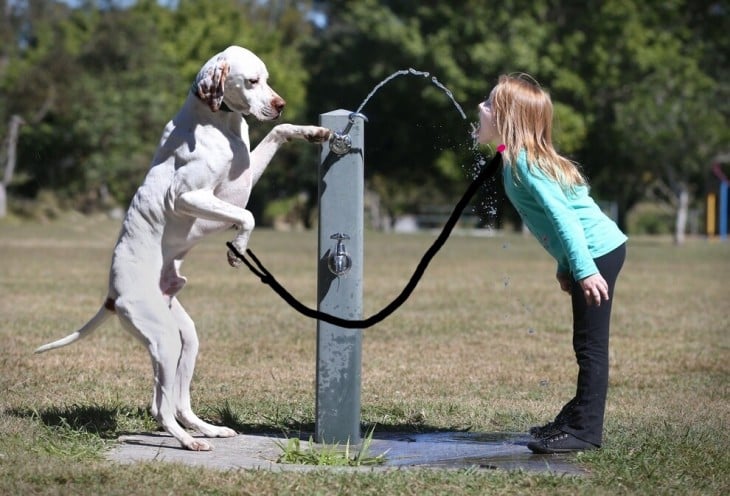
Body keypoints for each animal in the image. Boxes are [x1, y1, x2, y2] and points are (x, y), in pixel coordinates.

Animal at [34, 45, 330, 450]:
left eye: (267, 79)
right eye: (252, 81)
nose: (280, 104)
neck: (218, 122)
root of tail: (112, 295)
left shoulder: (243, 178)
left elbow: (278, 133)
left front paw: (313, 132)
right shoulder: (190, 196)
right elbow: (248, 215)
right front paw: (237, 248)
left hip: (186, 339)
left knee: (179, 402)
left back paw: (208, 429)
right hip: (164, 340)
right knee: (160, 406)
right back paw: (189, 442)